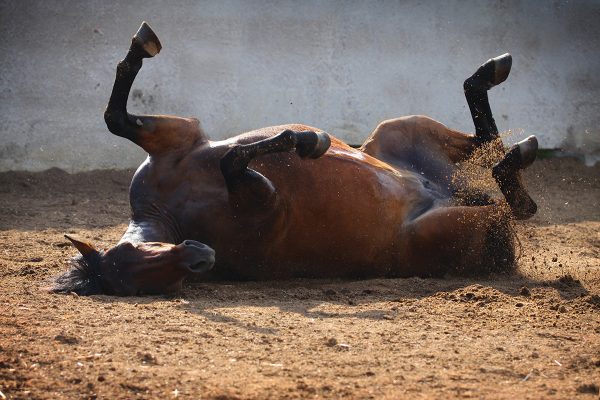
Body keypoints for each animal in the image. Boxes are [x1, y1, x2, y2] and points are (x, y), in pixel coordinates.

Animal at [52, 22, 540, 296]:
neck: (172, 212)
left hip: (402, 128)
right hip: (458, 225)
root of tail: (450, 192)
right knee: (513, 202)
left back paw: (494, 81)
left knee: (488, 141)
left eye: (135, 249)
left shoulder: (177, 137)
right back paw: (514, 162)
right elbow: (234, 160)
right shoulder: (266, 201)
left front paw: (141, 46)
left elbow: (116, 117)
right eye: (151, 284)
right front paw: (305, 141)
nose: (199, 259)